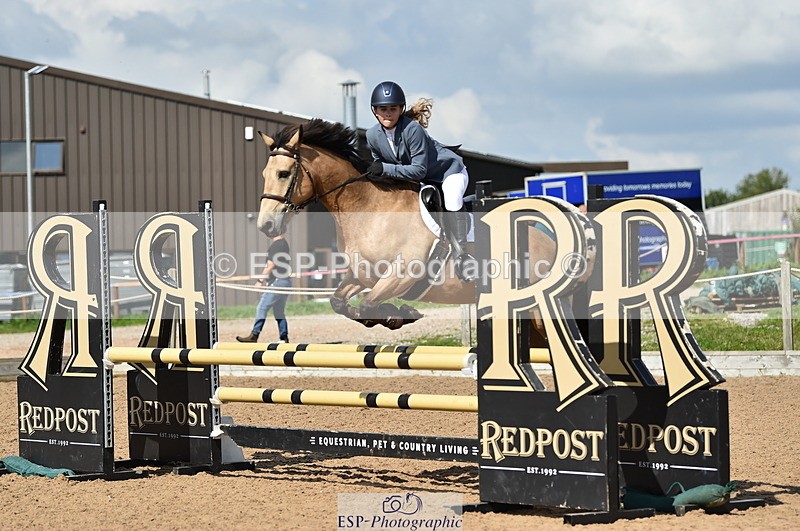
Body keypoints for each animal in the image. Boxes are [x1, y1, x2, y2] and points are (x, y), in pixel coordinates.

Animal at [256, 118, 589, 330]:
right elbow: (342, 303)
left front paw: (400, 313)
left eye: (284, 173)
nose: (266, 227)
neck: (368, 210)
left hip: (535, 307)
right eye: (264, 174)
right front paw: (393, 315)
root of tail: (553, 242)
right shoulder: (362, 275)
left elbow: (368, 304)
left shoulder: (403, 274)